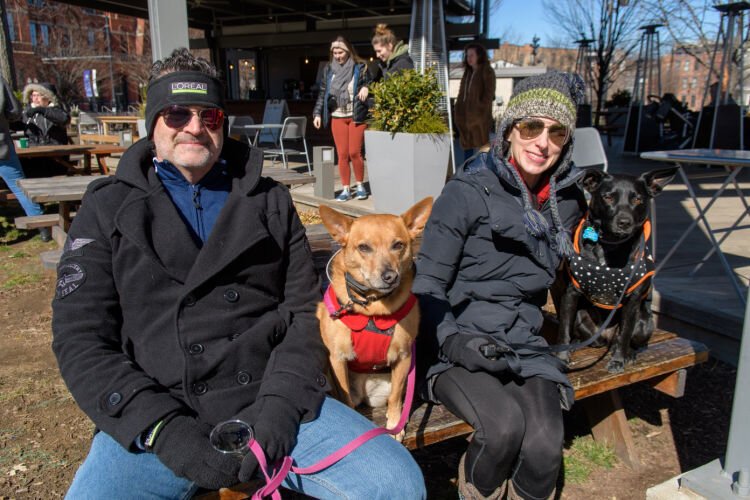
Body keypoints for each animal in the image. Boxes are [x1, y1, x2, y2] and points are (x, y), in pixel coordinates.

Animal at [318, 197, 434, 440]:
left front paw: (394, 425)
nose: (390, 276)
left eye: (398, 245)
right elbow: (345, 397)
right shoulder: (337, 358)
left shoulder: (404, 357)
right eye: (364, 247)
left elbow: (396, 397)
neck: (372, 309)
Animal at [552, 166, 680, 374]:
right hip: (581, 318)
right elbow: (563, 329)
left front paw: (618, 361)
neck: (611, 246)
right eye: (608, 197)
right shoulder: (570, 293)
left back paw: (630, 354)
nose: (624, 222)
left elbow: (625, 333)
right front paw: (562, 357)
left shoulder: (632, 300)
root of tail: (606, 335)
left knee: (629, 340)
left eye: (638, 199)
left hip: (644, 323)